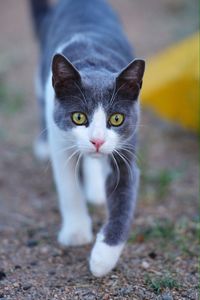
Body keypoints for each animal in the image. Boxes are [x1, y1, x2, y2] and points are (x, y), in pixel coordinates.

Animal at [29, 0, 145, 276]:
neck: (94, 62)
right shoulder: (60, 138)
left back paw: (95, 189)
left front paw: (103, 258)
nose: (98, 141)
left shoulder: (127, 148)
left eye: (117, 119)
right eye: (79, 117)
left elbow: (124, 200)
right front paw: (76, 232)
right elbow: (68, 186)